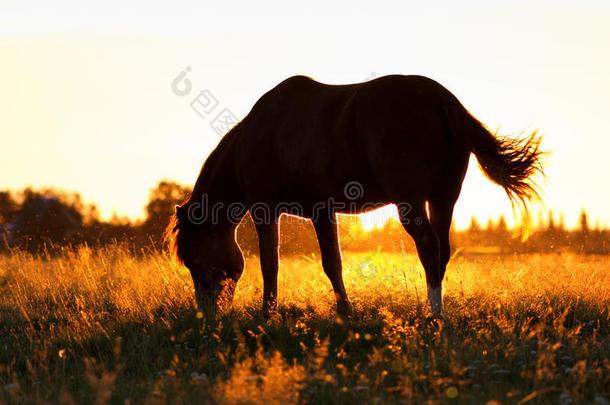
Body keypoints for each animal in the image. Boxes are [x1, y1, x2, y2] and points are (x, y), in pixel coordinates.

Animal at [163, 74, 540, 318]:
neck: (263, 135)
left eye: (193, 260)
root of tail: (441, 99)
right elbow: (333, 262)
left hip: (411, 202)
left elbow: (274, 263)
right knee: (442, 250)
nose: (207, 314)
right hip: (443, 198)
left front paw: (269, 315)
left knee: (429, 247)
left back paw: (436, 315)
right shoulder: (322, 212)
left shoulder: (268, 210)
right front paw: (345, 312)